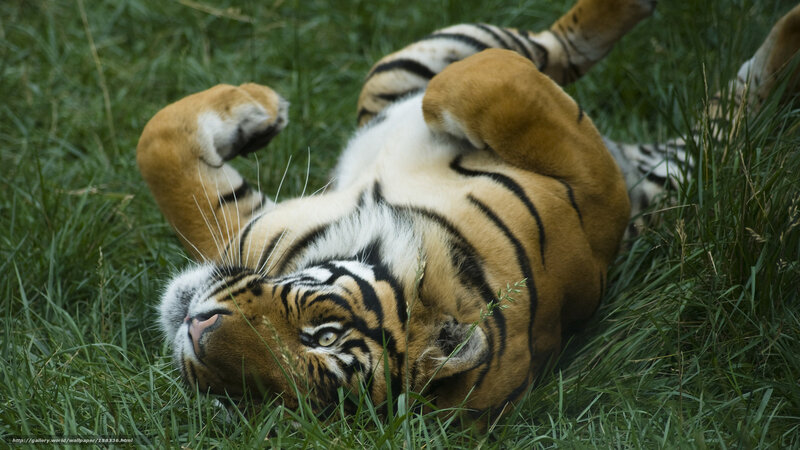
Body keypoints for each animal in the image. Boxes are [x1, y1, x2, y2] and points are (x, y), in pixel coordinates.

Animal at [138, 0, 800, 423]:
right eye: (240, 397)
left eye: (323, 337)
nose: (195, 331)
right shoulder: (250, 232)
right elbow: (159, 141)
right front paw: (261, 111)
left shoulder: (594, 195)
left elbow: (475, 86)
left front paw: (263, 110)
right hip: (412, 65)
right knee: (560, 53)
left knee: (537, 56)